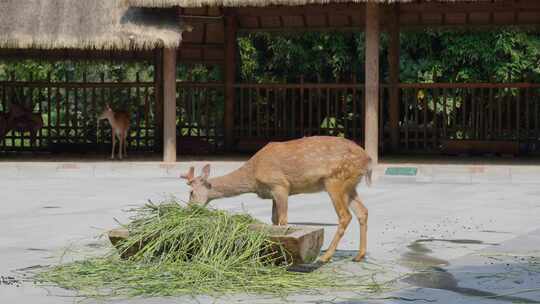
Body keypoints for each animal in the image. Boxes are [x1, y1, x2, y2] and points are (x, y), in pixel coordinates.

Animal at [180, 135, 372, 262]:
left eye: (191, 192)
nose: (189, 209)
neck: (253, 175)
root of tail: (367, 160)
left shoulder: (280, 185)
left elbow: (283, 220)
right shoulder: (272, 193)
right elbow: (274, 220)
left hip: (335, 180)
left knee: (345, 215)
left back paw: (325, 257)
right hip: (351, 185)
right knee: (363, 211)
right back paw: (359, 255)